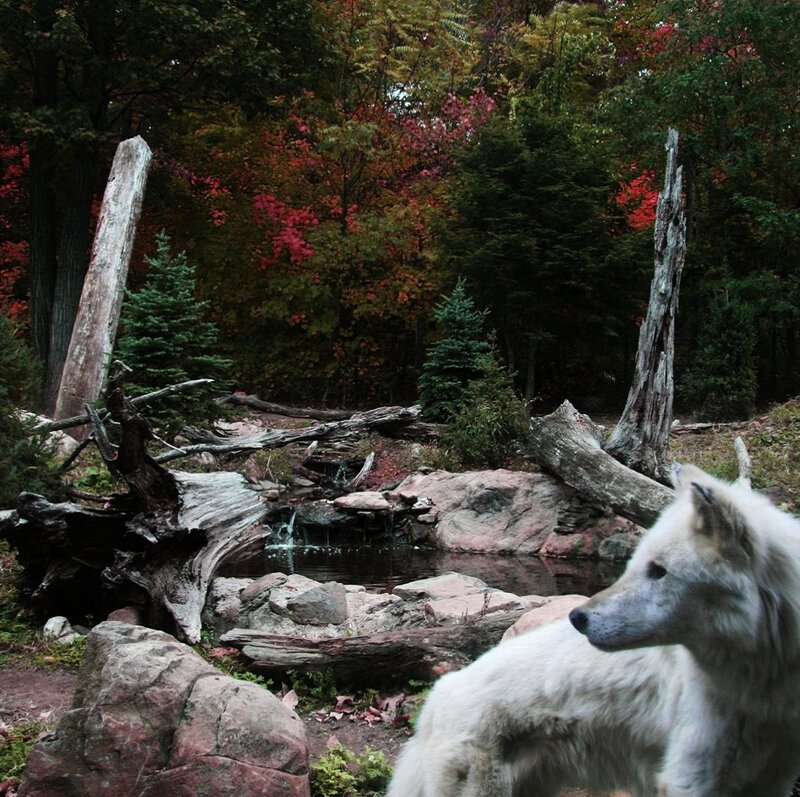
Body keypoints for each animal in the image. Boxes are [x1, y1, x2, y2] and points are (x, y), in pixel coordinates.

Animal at [386, 464, 800, 797]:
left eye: (658, 571)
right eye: (637, 564)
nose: (578, 618)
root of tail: (436, 700)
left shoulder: (770, 777)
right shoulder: (690, 777)